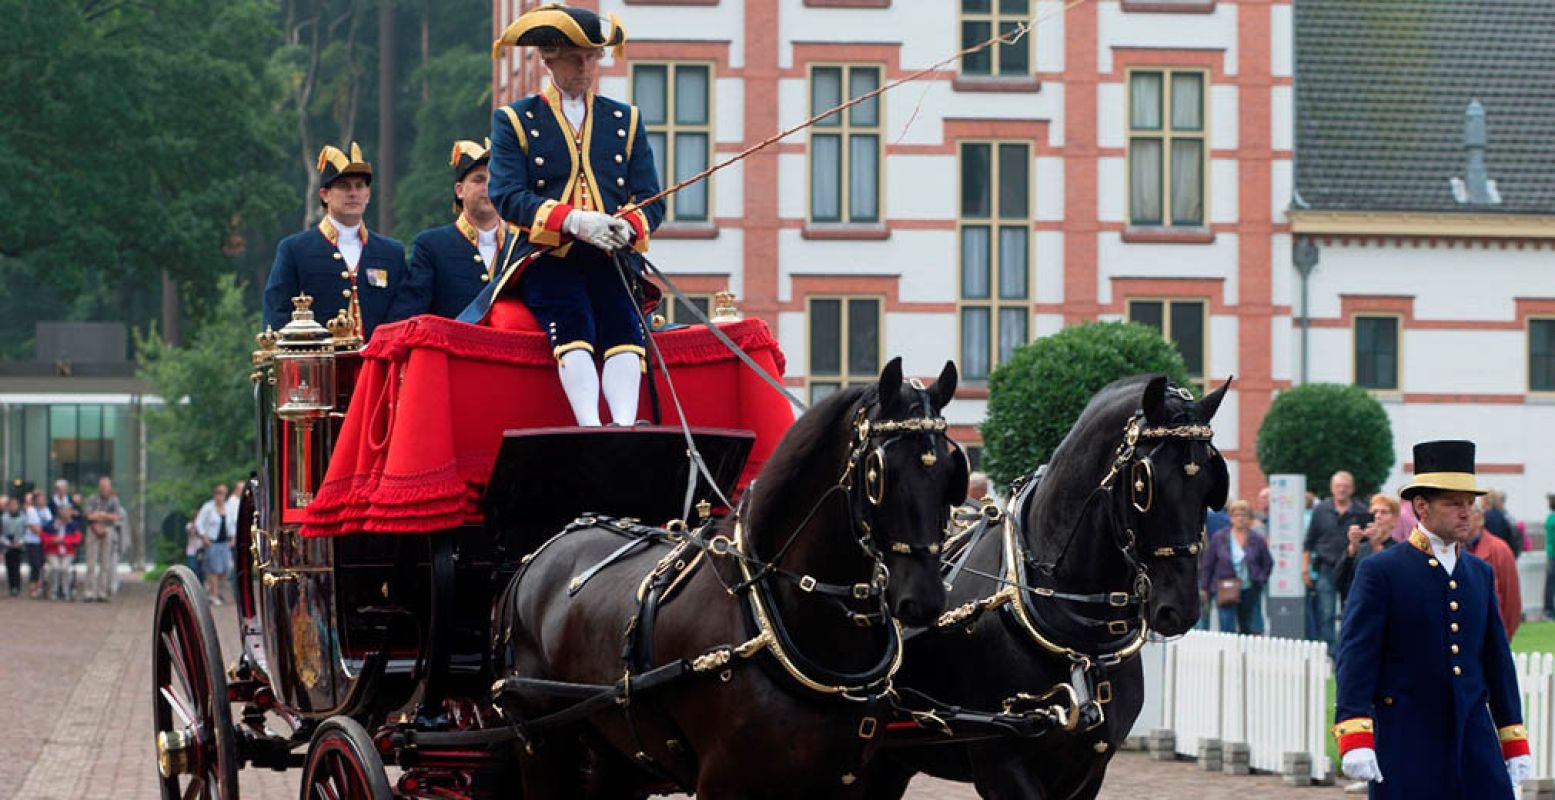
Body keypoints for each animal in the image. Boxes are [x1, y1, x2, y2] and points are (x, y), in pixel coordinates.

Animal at [491, 357, 964, 793]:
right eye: (877, 472)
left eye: (950, 471)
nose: (924, 598)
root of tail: (539, 554)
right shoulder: (723, 781)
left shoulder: (844, 782)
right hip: (541, 742)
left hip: (616, 747)